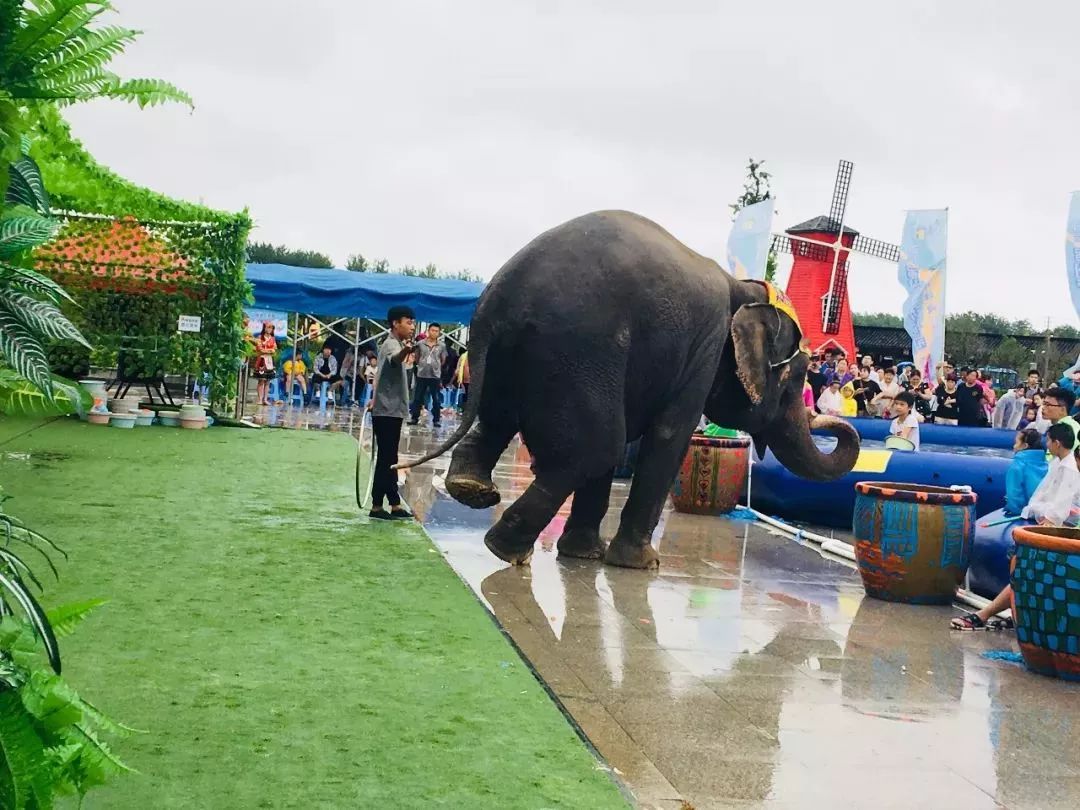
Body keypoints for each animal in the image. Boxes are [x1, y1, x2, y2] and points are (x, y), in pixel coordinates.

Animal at [397, 209, 859, 570]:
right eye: (797, 380)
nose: (829, 418)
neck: (741, 287)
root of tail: (499, 300)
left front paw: (584, 555)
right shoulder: (704, 349)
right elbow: (668, 436)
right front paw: (641, 564)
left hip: (513, 360)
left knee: (502, 420)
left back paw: (472, 491)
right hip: (578, 350)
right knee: (594, 447)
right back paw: (504, 548)